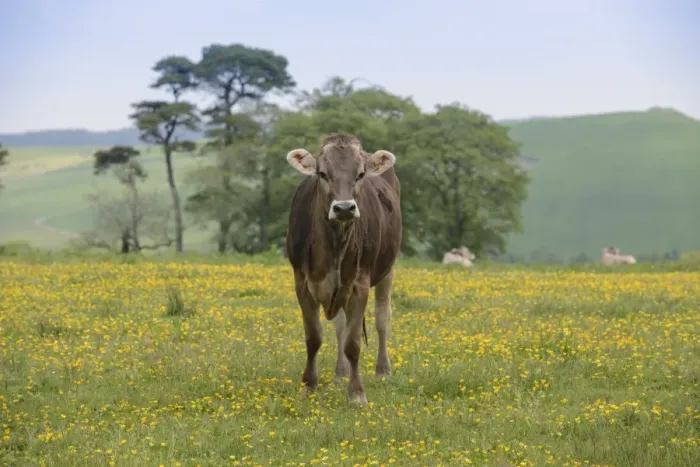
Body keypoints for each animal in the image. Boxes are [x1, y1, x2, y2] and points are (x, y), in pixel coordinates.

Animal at [285, 133, 402, 406]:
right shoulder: (302, 282)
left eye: (360, 174)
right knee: (339, 326)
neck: (332, 246)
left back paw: (383, 370)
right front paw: (309, 386)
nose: (345, 208)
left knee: (382, 317)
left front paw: (357, 394)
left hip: (388, 269)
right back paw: (340, 374)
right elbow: (314, 337)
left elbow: (353, 342)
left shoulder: (359, 283)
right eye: (322, 173)